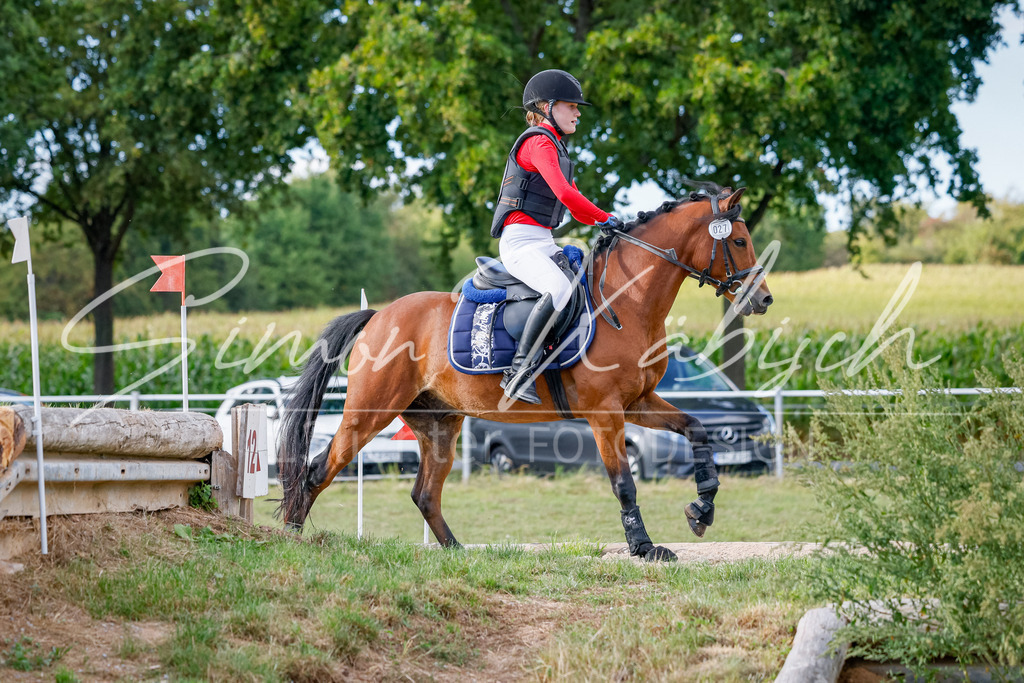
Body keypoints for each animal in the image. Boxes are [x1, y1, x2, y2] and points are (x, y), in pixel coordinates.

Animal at [276, 183, 773, 561]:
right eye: (740, 242)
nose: (763, 300)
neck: (628, 303)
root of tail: (379, 316)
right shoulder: (606, 414)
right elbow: (624, 484)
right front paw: (645, 547)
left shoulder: (638, 403)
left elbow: (697, 429)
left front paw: (702, 508)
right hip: (369, 411)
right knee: (318, 469)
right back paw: (291, 538)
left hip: (440, 423)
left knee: (425, 493)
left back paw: (456, 552)